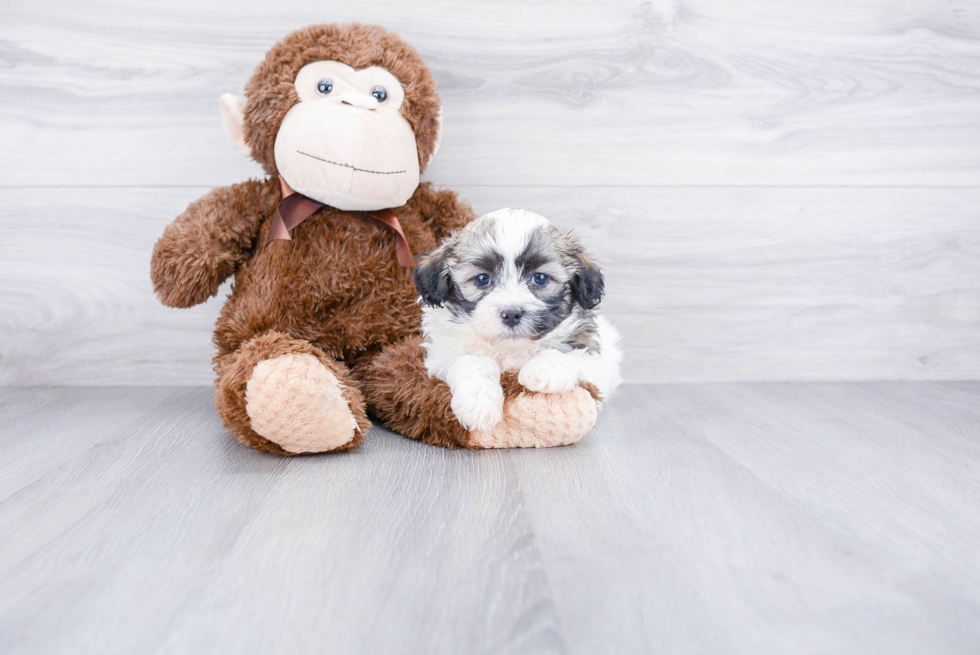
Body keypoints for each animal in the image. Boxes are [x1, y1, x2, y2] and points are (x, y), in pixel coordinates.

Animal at [414, 210, 620, 434]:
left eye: (540, 278)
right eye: (482, 279)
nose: (511, 314)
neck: (511, 349)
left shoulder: (598, 366)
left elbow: (572, 355)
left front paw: (544, 370)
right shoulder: (440, 358)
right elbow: (473, 361)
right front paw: (478, 403)